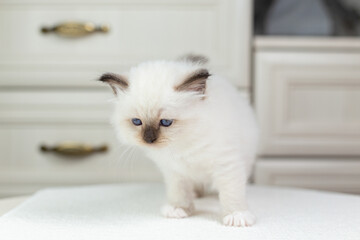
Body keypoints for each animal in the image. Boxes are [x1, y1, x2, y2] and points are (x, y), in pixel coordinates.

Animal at [100, 55, 258, 227]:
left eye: (166, 122)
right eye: (137, 122)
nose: (149, 140)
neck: (181, 145)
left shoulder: (226, 165)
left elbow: (231, 193)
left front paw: (237, 215)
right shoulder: (174, 171)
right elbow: (179, 192)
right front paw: (178, 209)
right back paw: (196, 194)